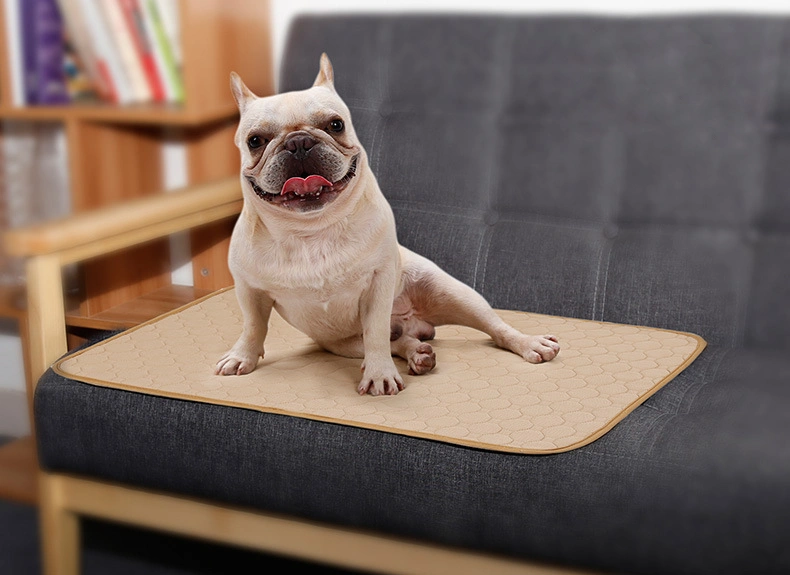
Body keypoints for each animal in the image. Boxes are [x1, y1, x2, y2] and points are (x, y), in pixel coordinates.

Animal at [217, 54, 560, 396]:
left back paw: (529, 343)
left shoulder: (378, 283)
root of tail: (416, 323)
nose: (299, 141)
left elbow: (376, 333)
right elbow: (253, 325)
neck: (312, 230)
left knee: (493, 327)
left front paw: (380, 374)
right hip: (344, 344)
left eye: (335, 125)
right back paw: (417, 354)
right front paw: (242, 356)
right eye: (255, 141)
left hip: (455, 294)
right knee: (398, 342)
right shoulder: (249, 290)